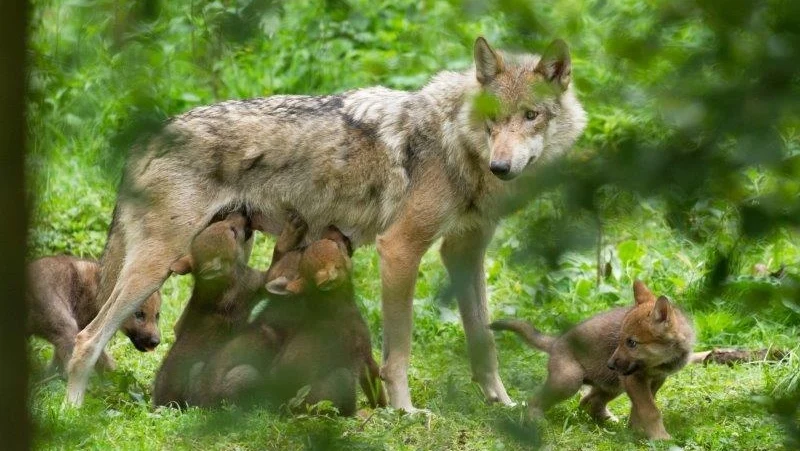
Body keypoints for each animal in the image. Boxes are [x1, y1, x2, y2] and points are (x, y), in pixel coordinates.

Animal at [66, 36, 587, 409]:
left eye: (531, 116)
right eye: (492, 121)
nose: (502, 167)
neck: (455, 142)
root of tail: (147, 136)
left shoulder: (464, 252)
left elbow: (484, 341)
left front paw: (502, 404)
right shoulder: (399, 249)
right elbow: (398, 354)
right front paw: (404, 412)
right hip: (152, 268)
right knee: (85, 338)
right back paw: (73, 413)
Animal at [490, 281, 695, 440]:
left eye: (631, 343)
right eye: (620, 339)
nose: (610, 365)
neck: (663, 360)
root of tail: (556, 342)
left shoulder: (655, 380)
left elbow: (639, 409)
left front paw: (636, 432)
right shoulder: (634, 379)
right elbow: (650, 411)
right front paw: (661, 438)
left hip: (612, 385)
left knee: (588, 402)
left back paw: (608, 422)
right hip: (570, 380)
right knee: (536, 399)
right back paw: (535, 420)